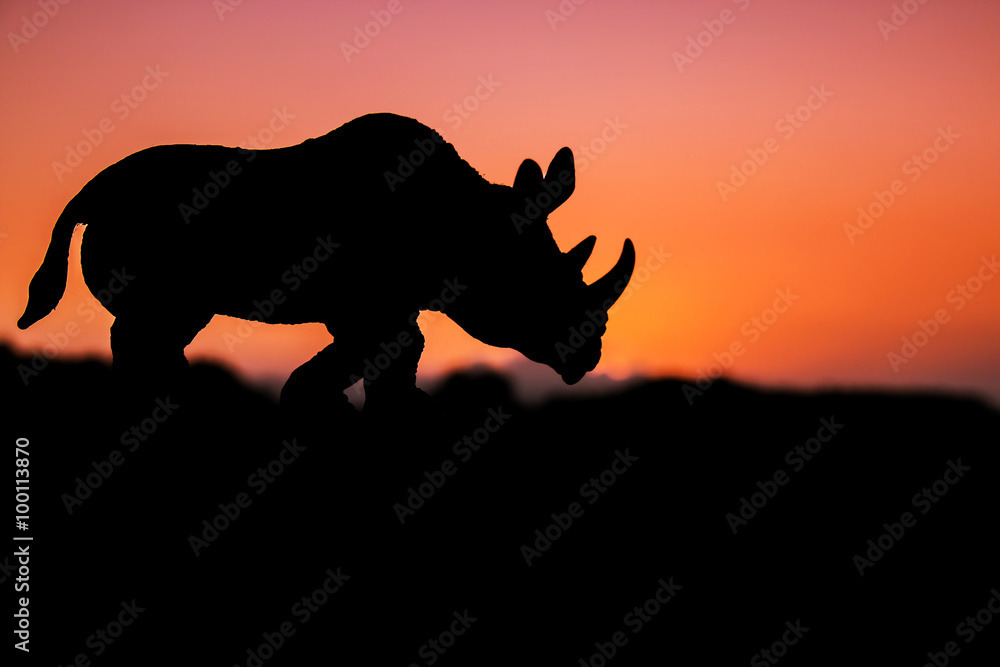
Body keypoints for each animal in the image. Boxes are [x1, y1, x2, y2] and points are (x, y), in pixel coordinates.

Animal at [18, 113, 634, 410]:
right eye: (544, 289)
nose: (589, 357)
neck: (469, 226)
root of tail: (90, 191)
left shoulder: (382, 306)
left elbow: (400, 356)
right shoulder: (366, 306)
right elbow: (384, 352)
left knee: (164, 328)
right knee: (154, 323)